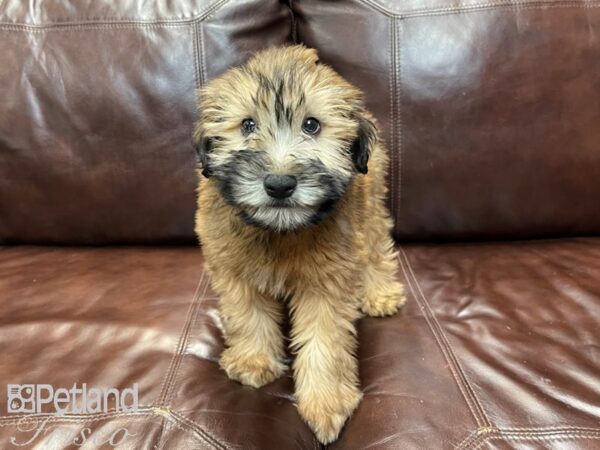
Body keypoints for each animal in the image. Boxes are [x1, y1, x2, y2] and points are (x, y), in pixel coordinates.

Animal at [195, 44, 406, 442]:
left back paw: (380, 292)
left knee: (376, 248)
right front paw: (253, 360)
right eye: (247, 125)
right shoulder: (234, 270)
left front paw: (326, 402)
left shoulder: (327, 281)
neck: (279, 230)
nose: (279, 184)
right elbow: (248, 316)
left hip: (370, 207)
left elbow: (325, 341)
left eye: (312, 125)